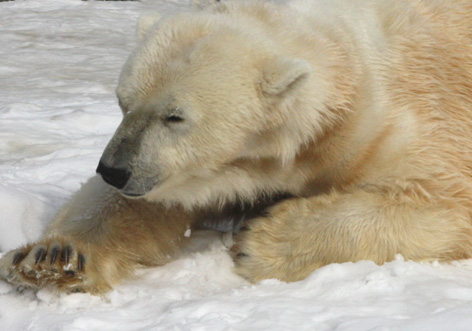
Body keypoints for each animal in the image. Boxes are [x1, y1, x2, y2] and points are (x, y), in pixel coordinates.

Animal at [0, 0, 472, 294]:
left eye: (175, 116)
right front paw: (53, 259)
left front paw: (256, 241)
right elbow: (142, 204)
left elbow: (445, 201)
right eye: (123, 103)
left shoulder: (396, 120)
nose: (114, 169)